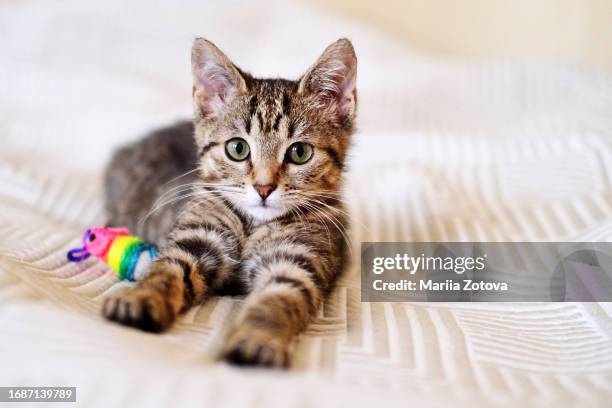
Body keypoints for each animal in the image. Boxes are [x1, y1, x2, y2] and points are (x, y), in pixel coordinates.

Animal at [103, 38, 356, 368]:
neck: (252, 225)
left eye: (300, 152)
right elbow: (166, 270)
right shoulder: (198, 236)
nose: (264, 187)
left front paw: (259, 338)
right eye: (238, 148)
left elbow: (278, 299)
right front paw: (140, 298)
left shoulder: (298, 258)